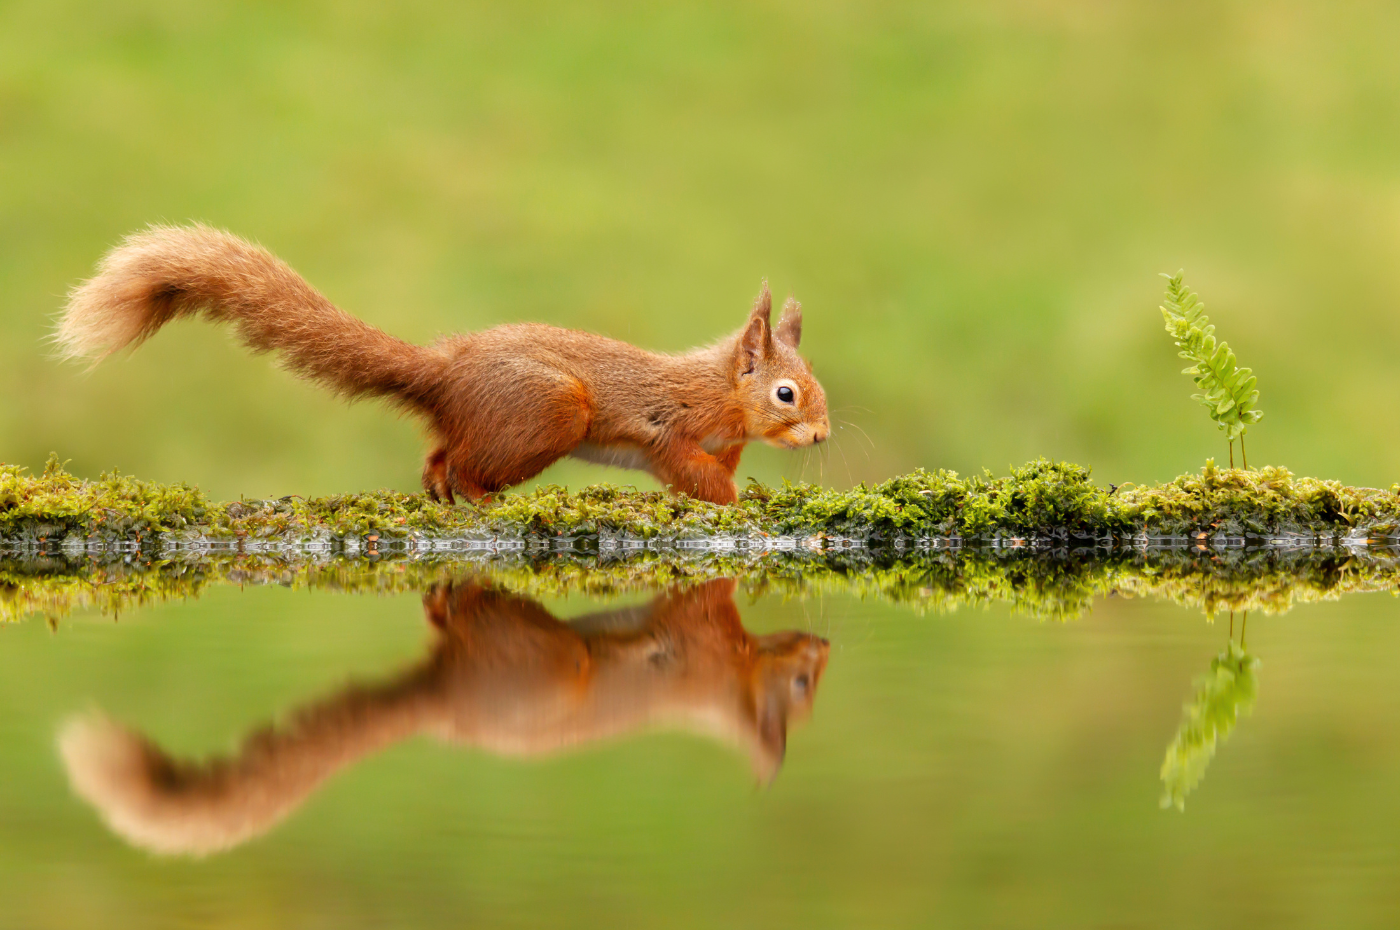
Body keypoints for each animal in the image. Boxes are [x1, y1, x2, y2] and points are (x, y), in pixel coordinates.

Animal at [56, 225, 830, 504]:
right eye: (787, 394)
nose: (822, 436)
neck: (721, 396)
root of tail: (448, 373)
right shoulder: (669, 427)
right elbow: (691, 473)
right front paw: (735, 504)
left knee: (438, 455)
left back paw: (442, 493)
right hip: (552, 413)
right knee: (465, 462)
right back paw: (484, 500)